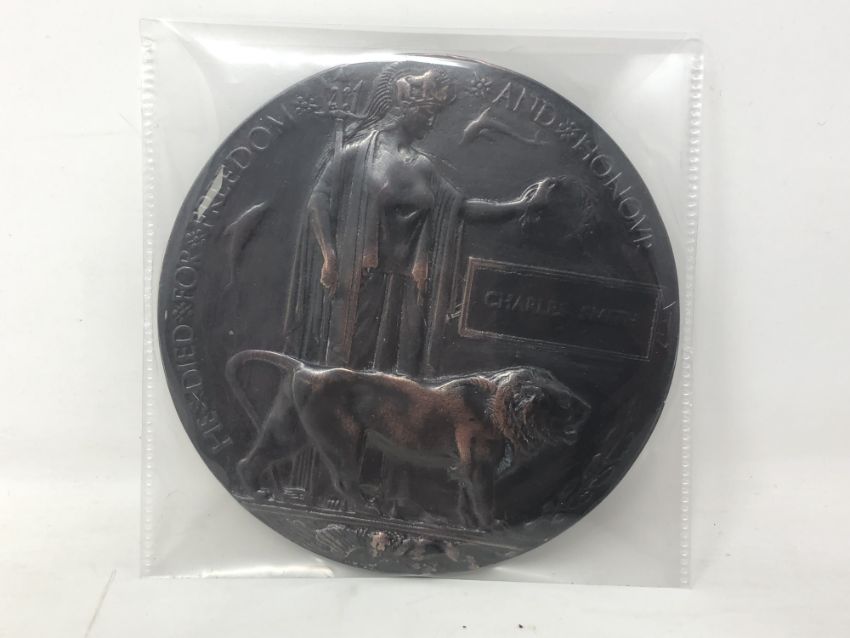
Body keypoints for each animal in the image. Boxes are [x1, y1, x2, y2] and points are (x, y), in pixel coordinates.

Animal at [226, 350, 591, 529]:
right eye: (565, 404)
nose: (588, 407)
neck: (499, 404)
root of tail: (305, 368)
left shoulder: (465, 466)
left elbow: (464, 499)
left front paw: (466, 525)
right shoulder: (479, 467)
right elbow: (483, 499)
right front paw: (491, 526)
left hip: (288, 431)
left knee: (249, 460)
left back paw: (254, 493)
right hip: (343, 440)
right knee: (344, 481)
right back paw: (369, 512)